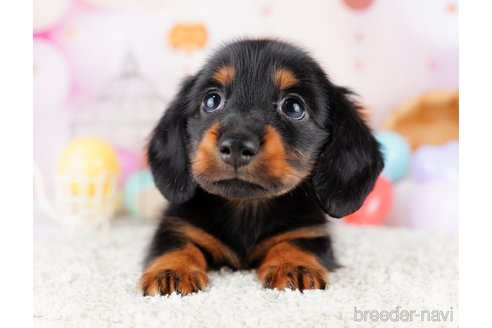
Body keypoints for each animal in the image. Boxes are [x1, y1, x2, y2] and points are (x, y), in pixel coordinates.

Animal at [139, 38, 384, 294]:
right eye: (211, 101)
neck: (247, 207)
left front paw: (293, 265)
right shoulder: (176, 224)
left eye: (294, 107)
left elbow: (295, 243)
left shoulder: (309, 231)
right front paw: (173, 270)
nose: (236, 145)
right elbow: (176, 244)